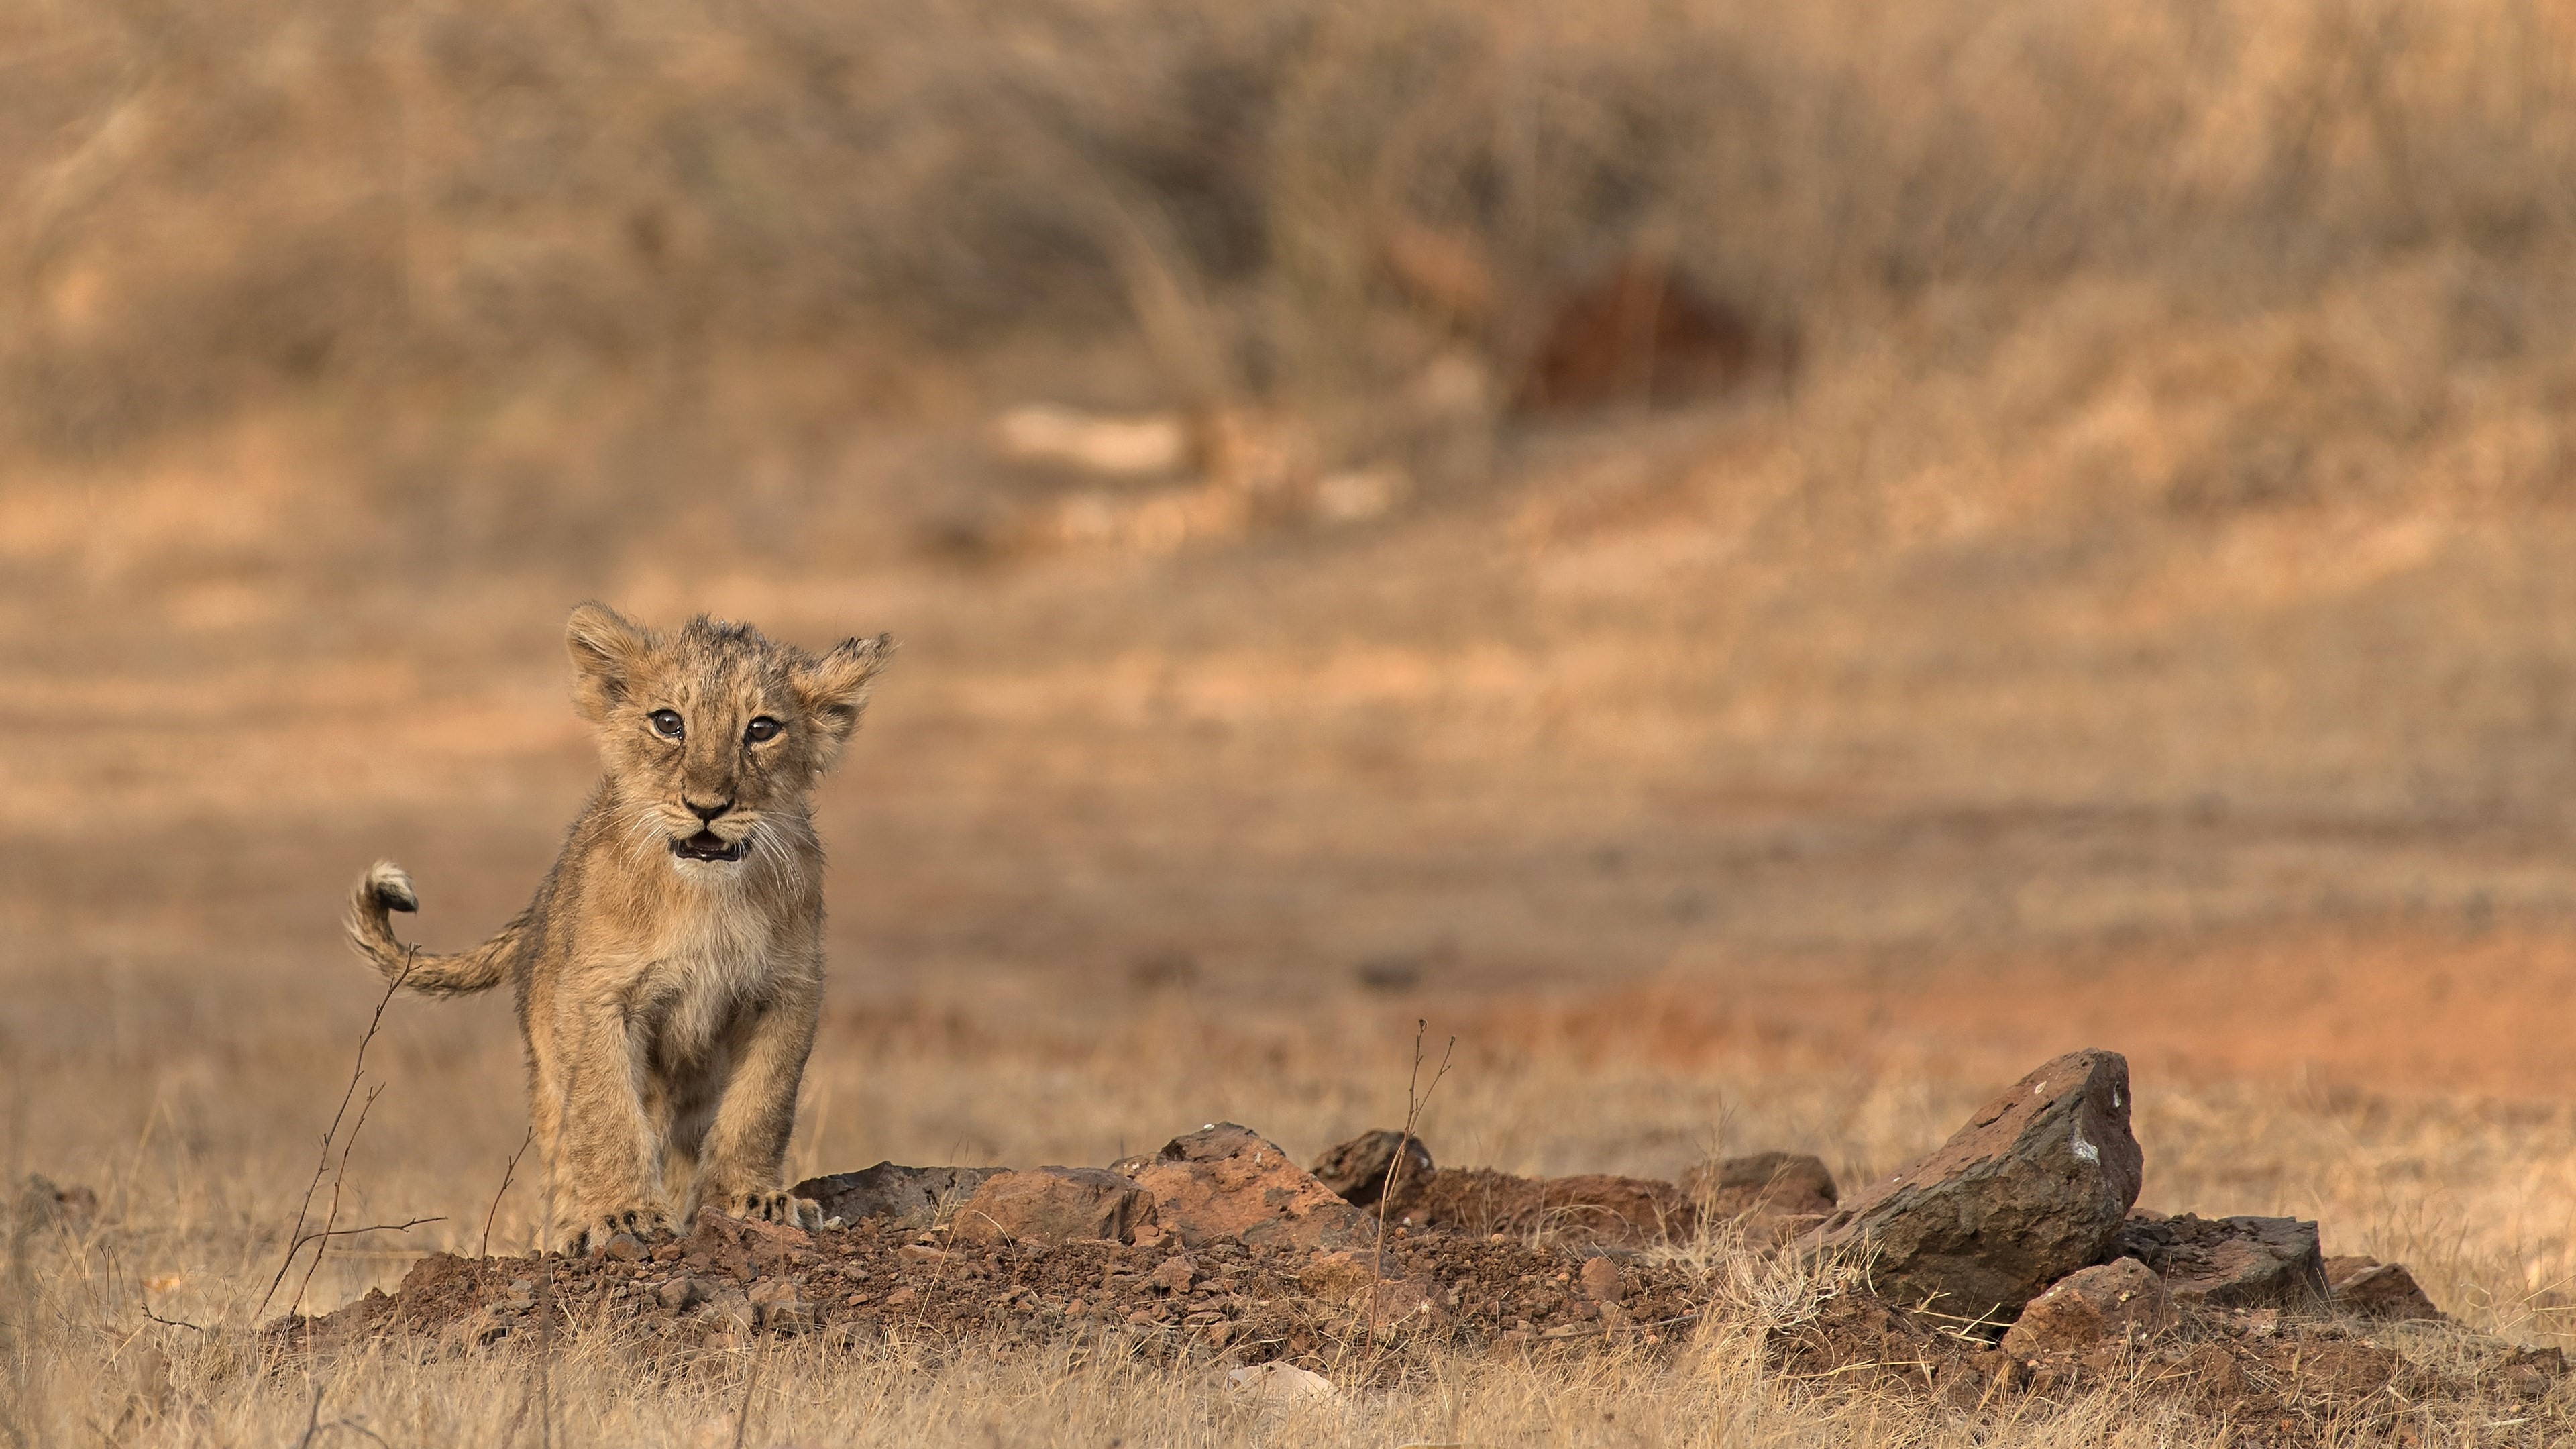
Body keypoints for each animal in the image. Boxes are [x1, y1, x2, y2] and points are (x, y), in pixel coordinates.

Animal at [346, 603, 891, 1254]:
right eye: (668, 723)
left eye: (762, 729)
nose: (707, 806)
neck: (705, 899)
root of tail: (540, 901)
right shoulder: (597, 995)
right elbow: (606, 1112)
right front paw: (626, 1214)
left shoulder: (787, 993)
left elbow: (761, 1103)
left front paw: (750, 1199)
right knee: (565, 1149)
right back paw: (569, 1229)